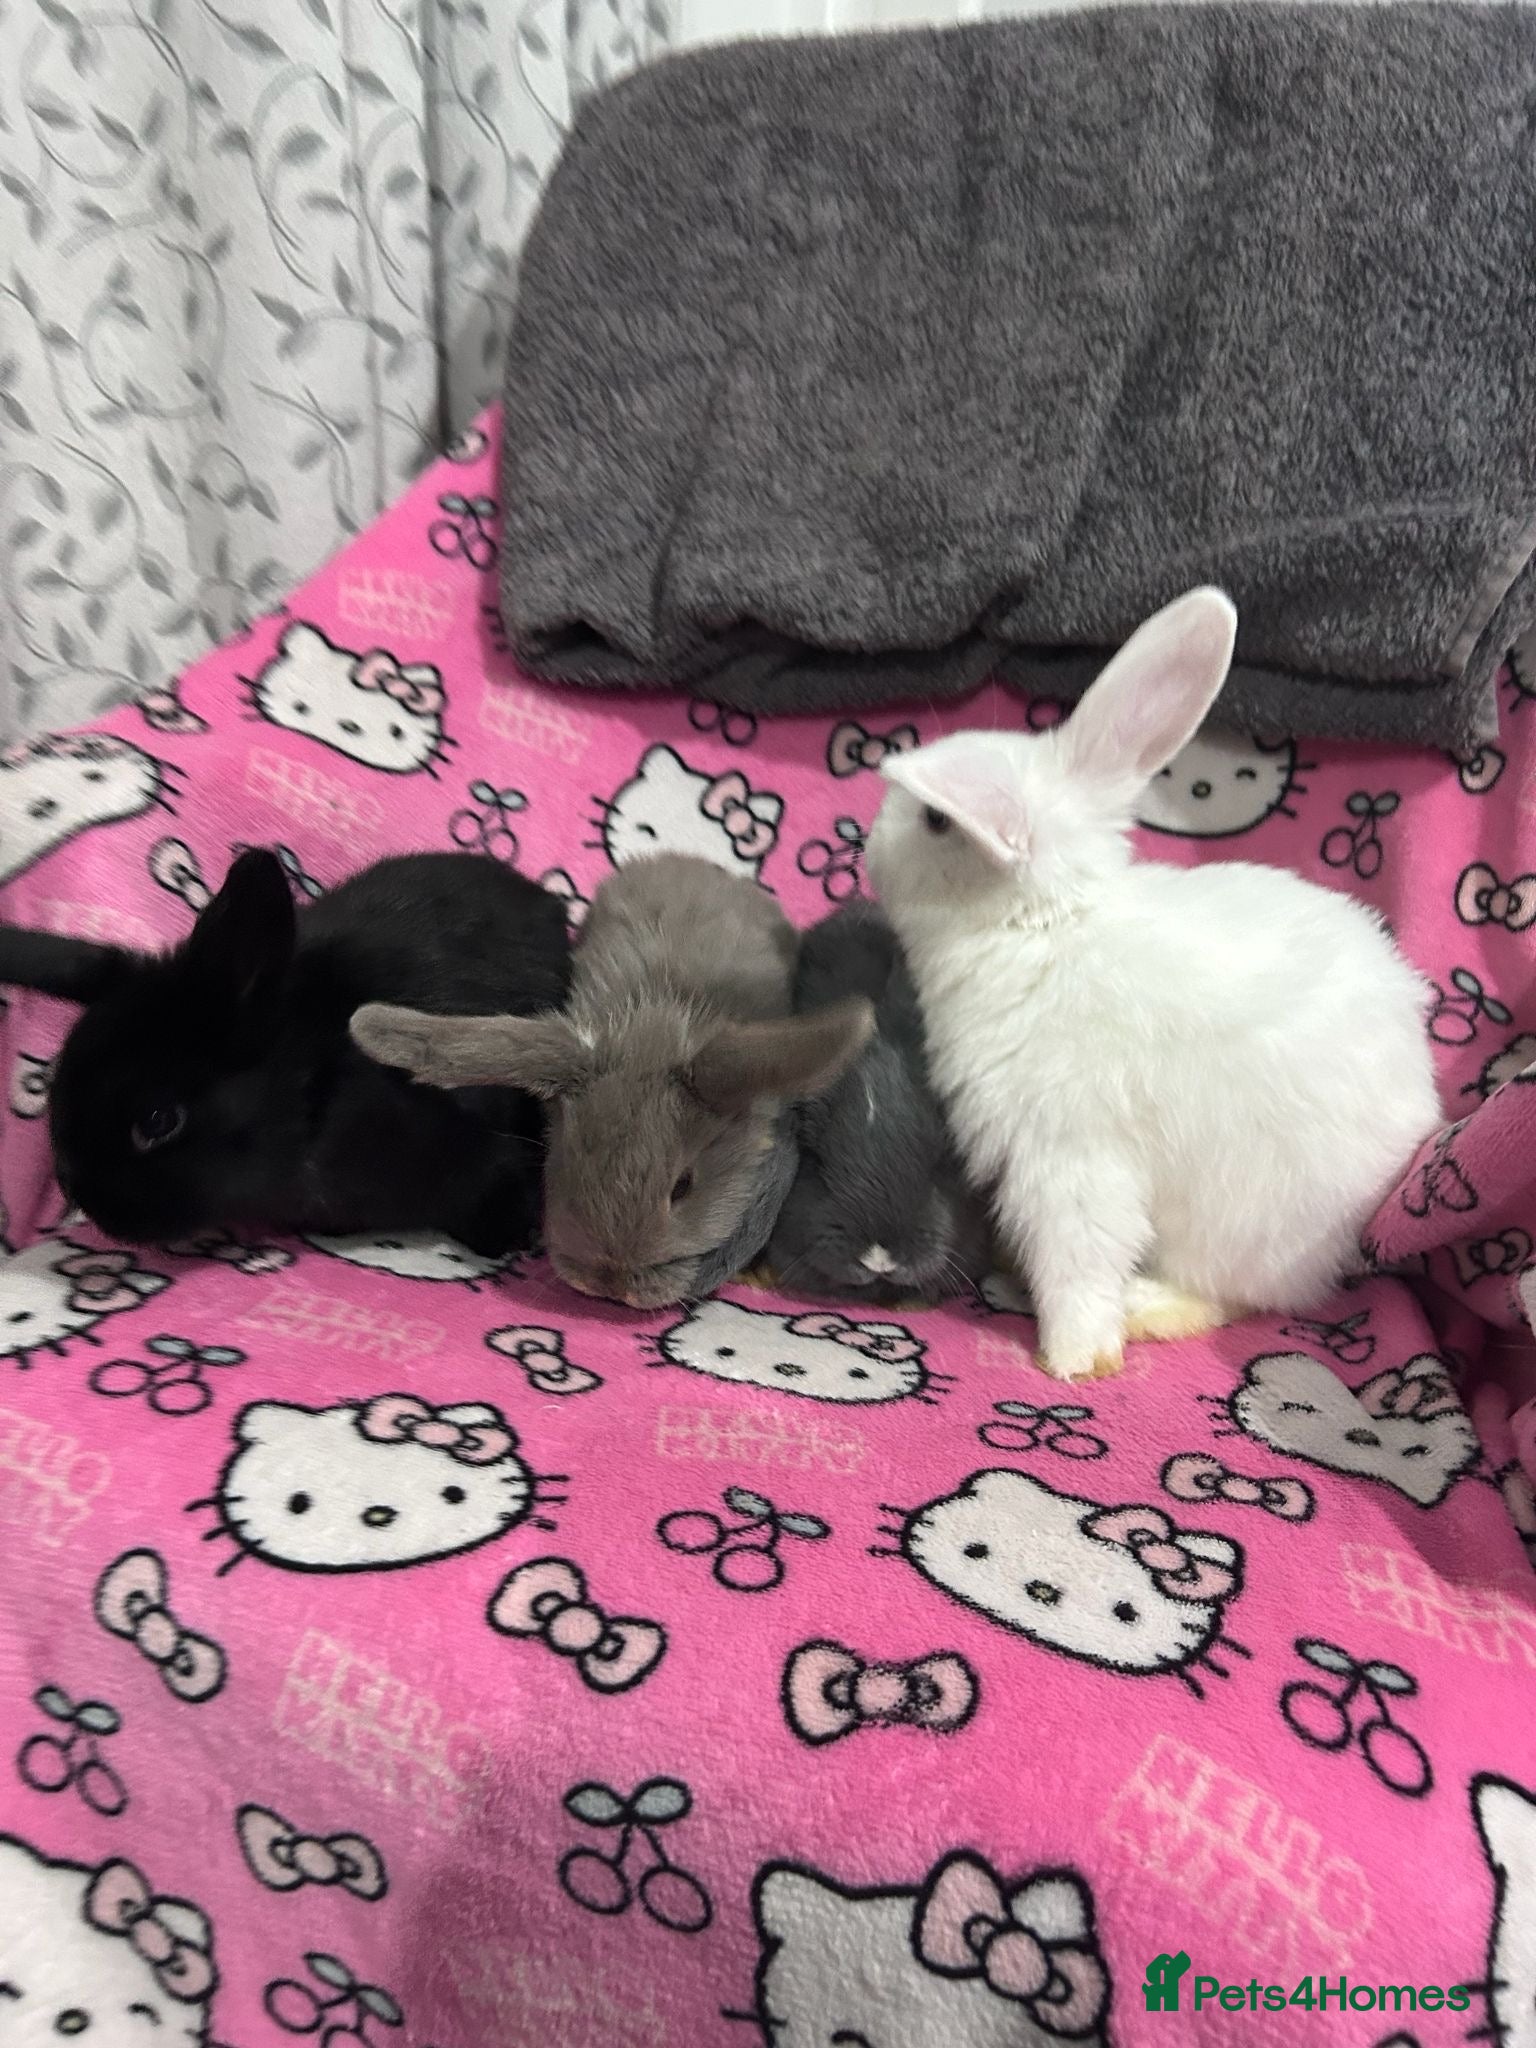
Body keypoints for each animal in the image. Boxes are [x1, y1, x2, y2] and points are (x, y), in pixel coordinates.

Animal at [865, 587, 1442, 1382]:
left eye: (933, 819)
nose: (867, 848)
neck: (1044, 923)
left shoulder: (1066, 1151)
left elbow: (1079, 1256)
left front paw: (1073, 1359)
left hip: (1238, 1218)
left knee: (1239, 1295)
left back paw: (1149, 1307)